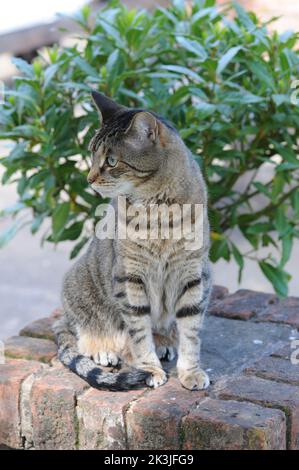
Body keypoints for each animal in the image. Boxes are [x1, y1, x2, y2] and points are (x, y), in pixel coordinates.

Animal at [54, 91, 213, 390]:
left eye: (111, 161)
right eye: (92, 153)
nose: (89, 178)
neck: (159, 211)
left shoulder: (193, 274)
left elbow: (191, 332)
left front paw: (191, 372)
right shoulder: (130, 278)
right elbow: (139, 334)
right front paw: (149, 369)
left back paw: (164, 340)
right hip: (78, 290)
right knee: (80, 332)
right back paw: (103, 349)